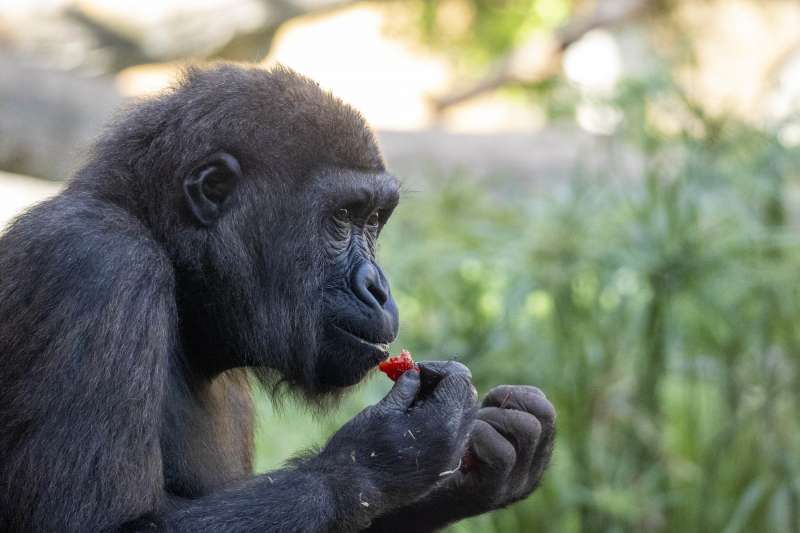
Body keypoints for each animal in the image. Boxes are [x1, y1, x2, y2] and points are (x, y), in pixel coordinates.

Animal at [0, 64, 552, 528]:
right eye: (342, 217)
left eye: (374, 221)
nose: (378, 287)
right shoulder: (98, 265)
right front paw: (383, 455)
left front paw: (481, 473)